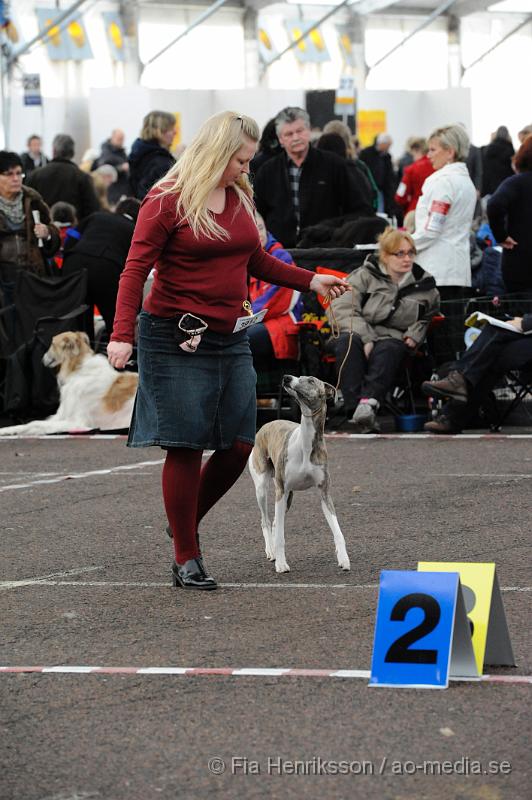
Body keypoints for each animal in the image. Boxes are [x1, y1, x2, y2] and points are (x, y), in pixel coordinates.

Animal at [0, 330, 139, 438]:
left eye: (53, 344)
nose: (42, 359)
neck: (78, 371)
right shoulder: (60, 416)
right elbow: (29, 423)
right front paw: (5, 430)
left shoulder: (76, 423)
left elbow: (36, 424)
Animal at [248, 376, 352, 576]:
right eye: (299, 377)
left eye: (311, 380)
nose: (286, 377)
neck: (305, 444)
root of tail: (265, 425)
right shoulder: (281, 490)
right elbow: (280, 536)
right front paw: (281, 564)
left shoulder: (324, 494)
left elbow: (338, 531)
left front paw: (343, 558)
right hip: (263, 488)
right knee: (265, 520)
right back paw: (271, 551)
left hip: (288, 496)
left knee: (274, 521)